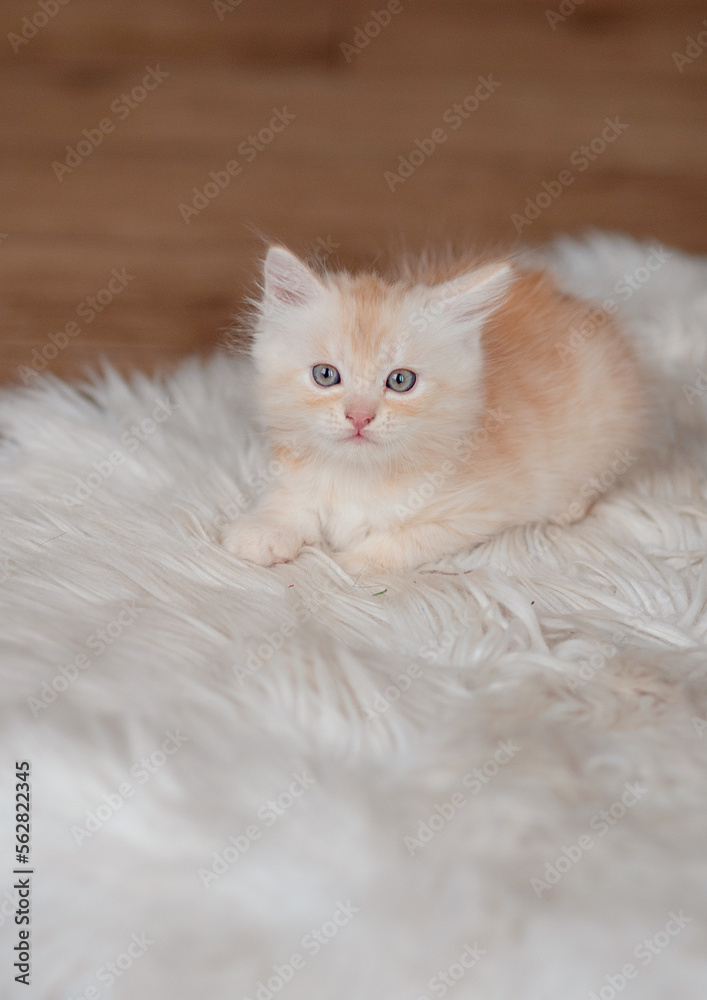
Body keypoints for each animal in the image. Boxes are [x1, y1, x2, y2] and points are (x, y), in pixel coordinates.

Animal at [223, 244, 648, 580]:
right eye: (326, 375)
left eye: (400, 381)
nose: (359, 417)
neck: (359, 476)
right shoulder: (295, 471)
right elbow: (286, 499)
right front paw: (263, 532)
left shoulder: (476, 511)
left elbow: (406, 539)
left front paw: (347, 564)